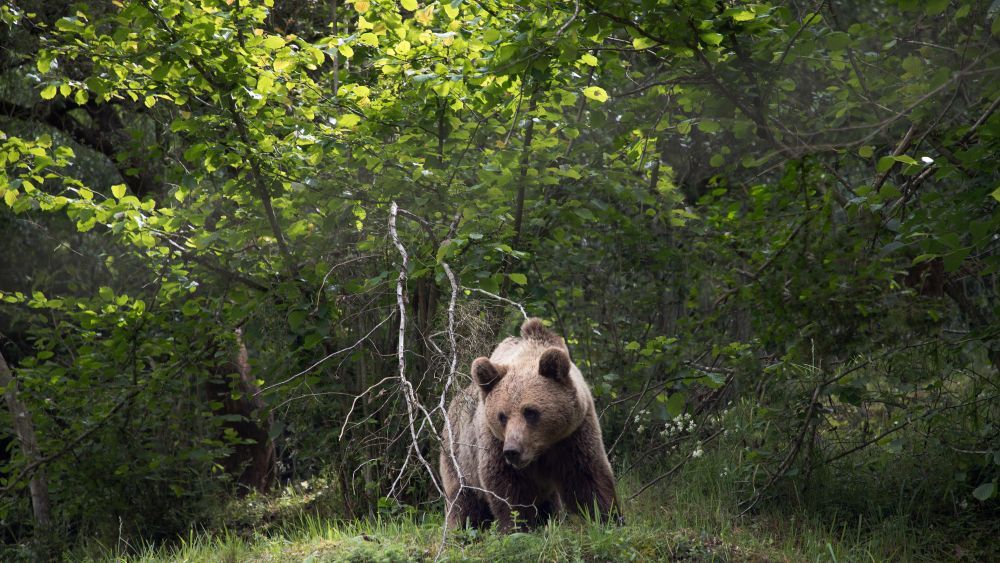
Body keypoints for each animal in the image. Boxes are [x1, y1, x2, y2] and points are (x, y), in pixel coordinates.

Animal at [444, 320, 620, 532]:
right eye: (502, 416)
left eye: (530, 412)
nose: (512, 450)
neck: (540, 450)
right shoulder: (494, 443)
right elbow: (508, 488)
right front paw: (518, 527)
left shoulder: (573, 435)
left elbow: (587, 475)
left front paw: (608, 518)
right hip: (459, 458)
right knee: (464, 501)